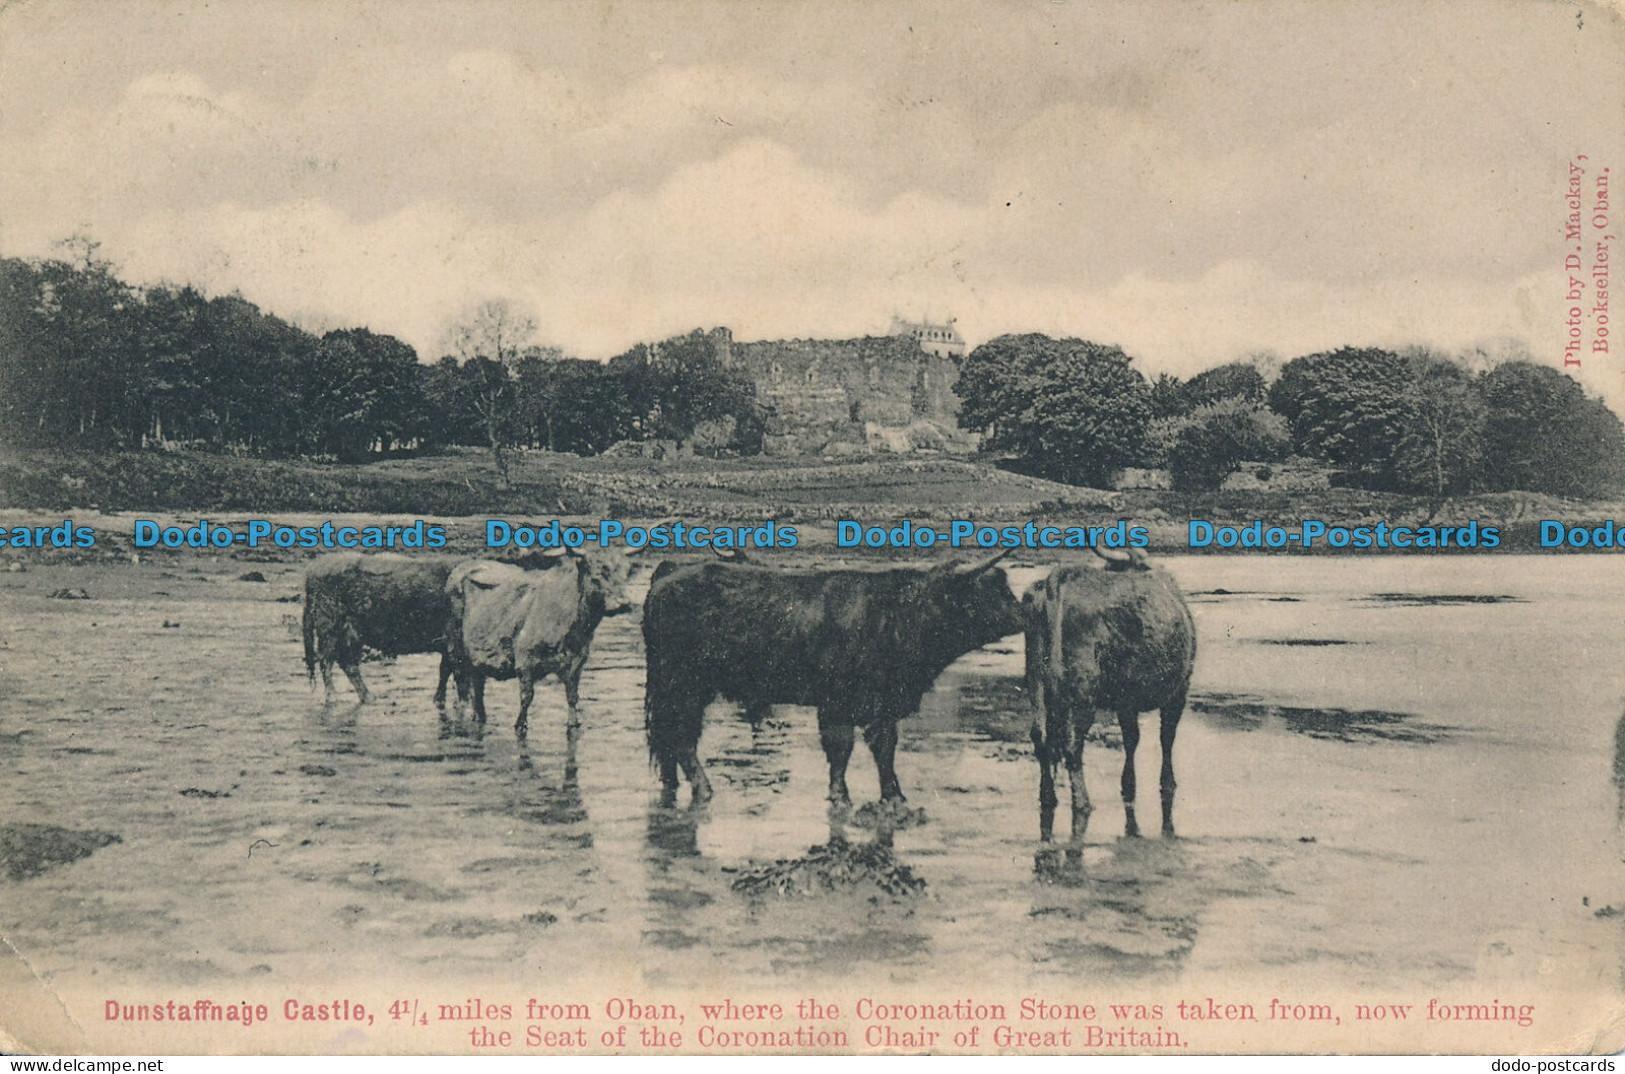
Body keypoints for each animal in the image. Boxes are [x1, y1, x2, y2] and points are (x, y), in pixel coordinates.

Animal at [640, 552, 1020, 805]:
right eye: (991, 591)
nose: (1022, 614)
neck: (900, 612)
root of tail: (670, 573)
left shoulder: (881, 706)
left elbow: (881, 749)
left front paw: (891, 795)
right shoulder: (840, 703)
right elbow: (845, 749)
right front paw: (848, 796)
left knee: (669, 740)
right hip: (682, 687)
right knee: (681, 738)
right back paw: (704, 788)